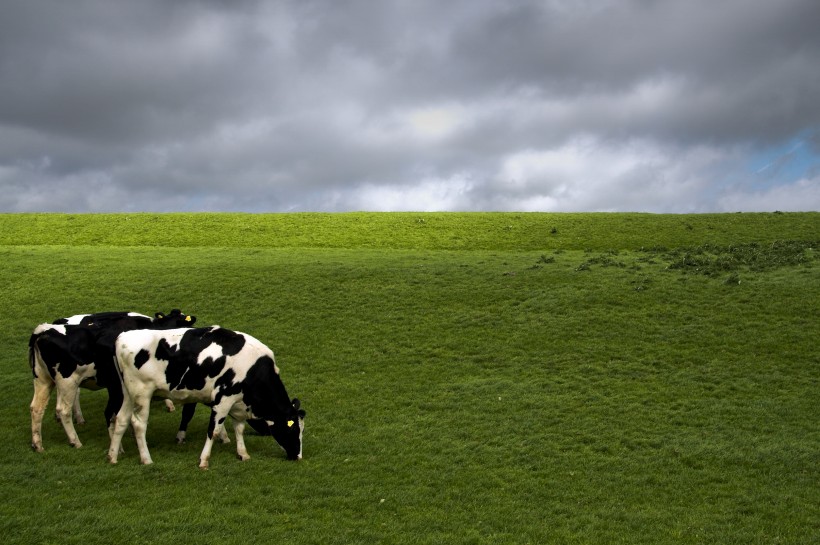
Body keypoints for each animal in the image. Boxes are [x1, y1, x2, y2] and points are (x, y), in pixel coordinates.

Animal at [29, 308, 197, 452]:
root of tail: (43, 330)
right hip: (67, 381)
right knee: (64, 410)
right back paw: (75, 440)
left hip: (43, 380)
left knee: (37, 408)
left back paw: (38, 444)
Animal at [107, 324, 302, 468]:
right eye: (293, 429)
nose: (297, 456)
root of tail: (122, 336)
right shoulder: (223, 400)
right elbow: (213, 431)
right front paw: (204, 460)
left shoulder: (237, 402)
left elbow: (239, 428)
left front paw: (243, 454)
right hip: (142, 393)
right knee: (138, 424)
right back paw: (146, 459)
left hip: (128, 393)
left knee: (121, 419)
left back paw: (113, 456)